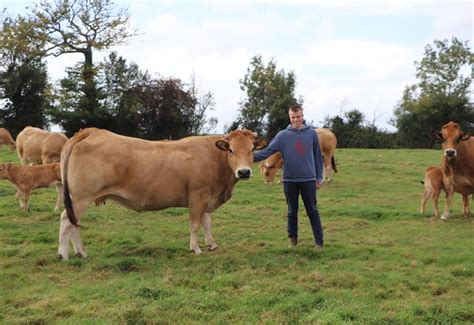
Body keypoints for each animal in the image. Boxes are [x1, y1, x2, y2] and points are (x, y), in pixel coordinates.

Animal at [57, 126, 264, 258]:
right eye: (231, 150)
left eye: (252, 149)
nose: (244, 172)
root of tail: (91, 131)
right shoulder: (197, 197)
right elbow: (195, 225)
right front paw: (195, 248)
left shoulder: (207, 198)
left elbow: (207, 222)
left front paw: (211, 244)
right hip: (81, 197)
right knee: (67, 220)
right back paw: (67, 254)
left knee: (73, 223)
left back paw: (79, 252)